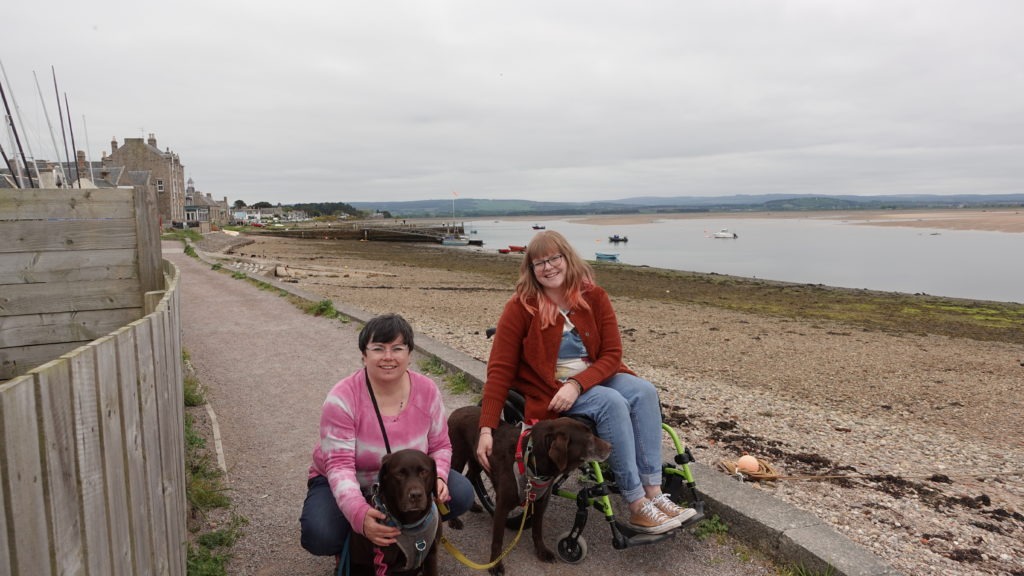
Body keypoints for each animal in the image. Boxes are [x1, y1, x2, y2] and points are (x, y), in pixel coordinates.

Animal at [446, 403, 606, 573]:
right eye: (589, 438)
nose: (611, 447)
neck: (532, 461)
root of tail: (457, 411)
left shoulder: (541, 502)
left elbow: (537, 530)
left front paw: (541, 551)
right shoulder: (502, 506)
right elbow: (497, 540)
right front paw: (495, 565)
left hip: (478, 461)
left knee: (469, 477)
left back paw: (472, 505)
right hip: (458, 458)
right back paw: (454, 520)